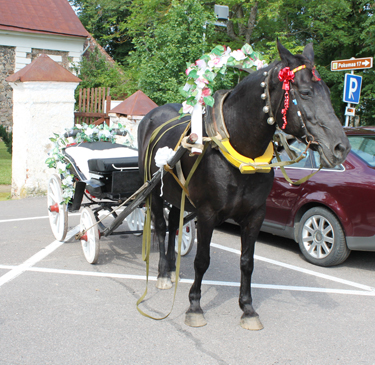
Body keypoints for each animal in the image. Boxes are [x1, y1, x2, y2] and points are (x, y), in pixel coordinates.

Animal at [138, 41, 352, 328]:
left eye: (327, 92)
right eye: (306, 92)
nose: (341, 148)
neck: (239, 152)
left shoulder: (255, 214)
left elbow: (247, 262)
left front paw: (248, 308)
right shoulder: (207, 213)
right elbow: (202, 260)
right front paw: (195, 306)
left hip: (177, 194)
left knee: (173, 226)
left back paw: (171, 268)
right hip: (155, 191)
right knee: (161, 229)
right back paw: (162, 274)